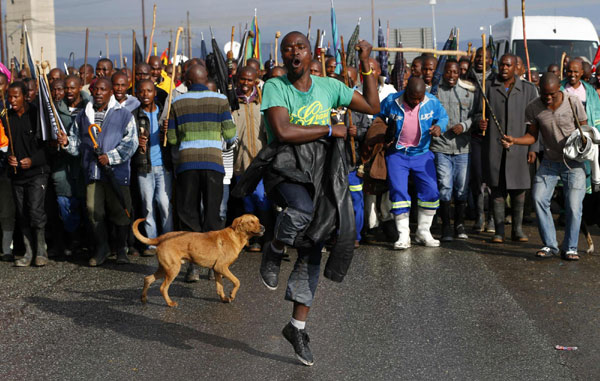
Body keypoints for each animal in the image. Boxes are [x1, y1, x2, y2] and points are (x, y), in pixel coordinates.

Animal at [134, 214, 264, 306]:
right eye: (251, 222)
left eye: (258, 220)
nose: (264, 227)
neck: (235, 235)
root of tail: (161, 238)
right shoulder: (221, 267)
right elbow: (237, 281)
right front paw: (232, 295)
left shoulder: (217, 270)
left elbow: (219, 287)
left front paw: (224, 298)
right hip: (173, 269)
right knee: (162, 288)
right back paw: (170, 303)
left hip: (165, 268)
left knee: (147, 279)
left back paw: (143, 299)